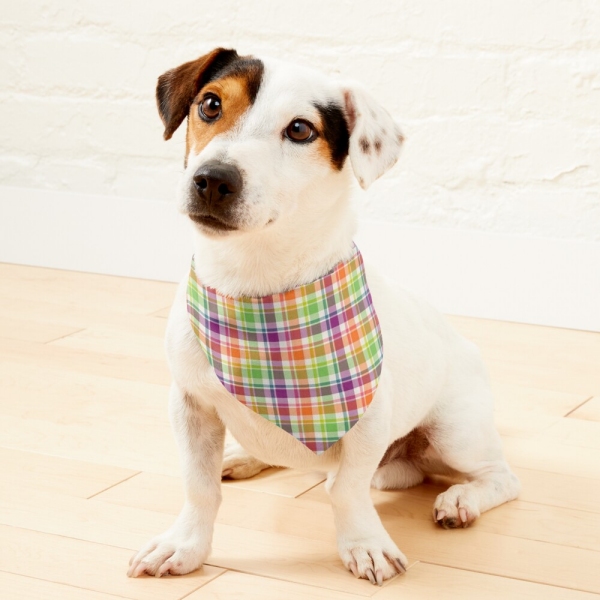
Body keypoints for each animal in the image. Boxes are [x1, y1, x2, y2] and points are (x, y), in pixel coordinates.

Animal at [127, 48, 520, 584]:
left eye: (299, 130)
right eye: (210, 104)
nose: (212, 179)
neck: (255, 285)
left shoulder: (368, 420)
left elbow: (347, 490)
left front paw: (365, 544)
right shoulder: (190, 405)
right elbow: (199, 486)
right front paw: (185, 545)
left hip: (456, 432)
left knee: (500, 477)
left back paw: (461, 499)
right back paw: (243, 456)